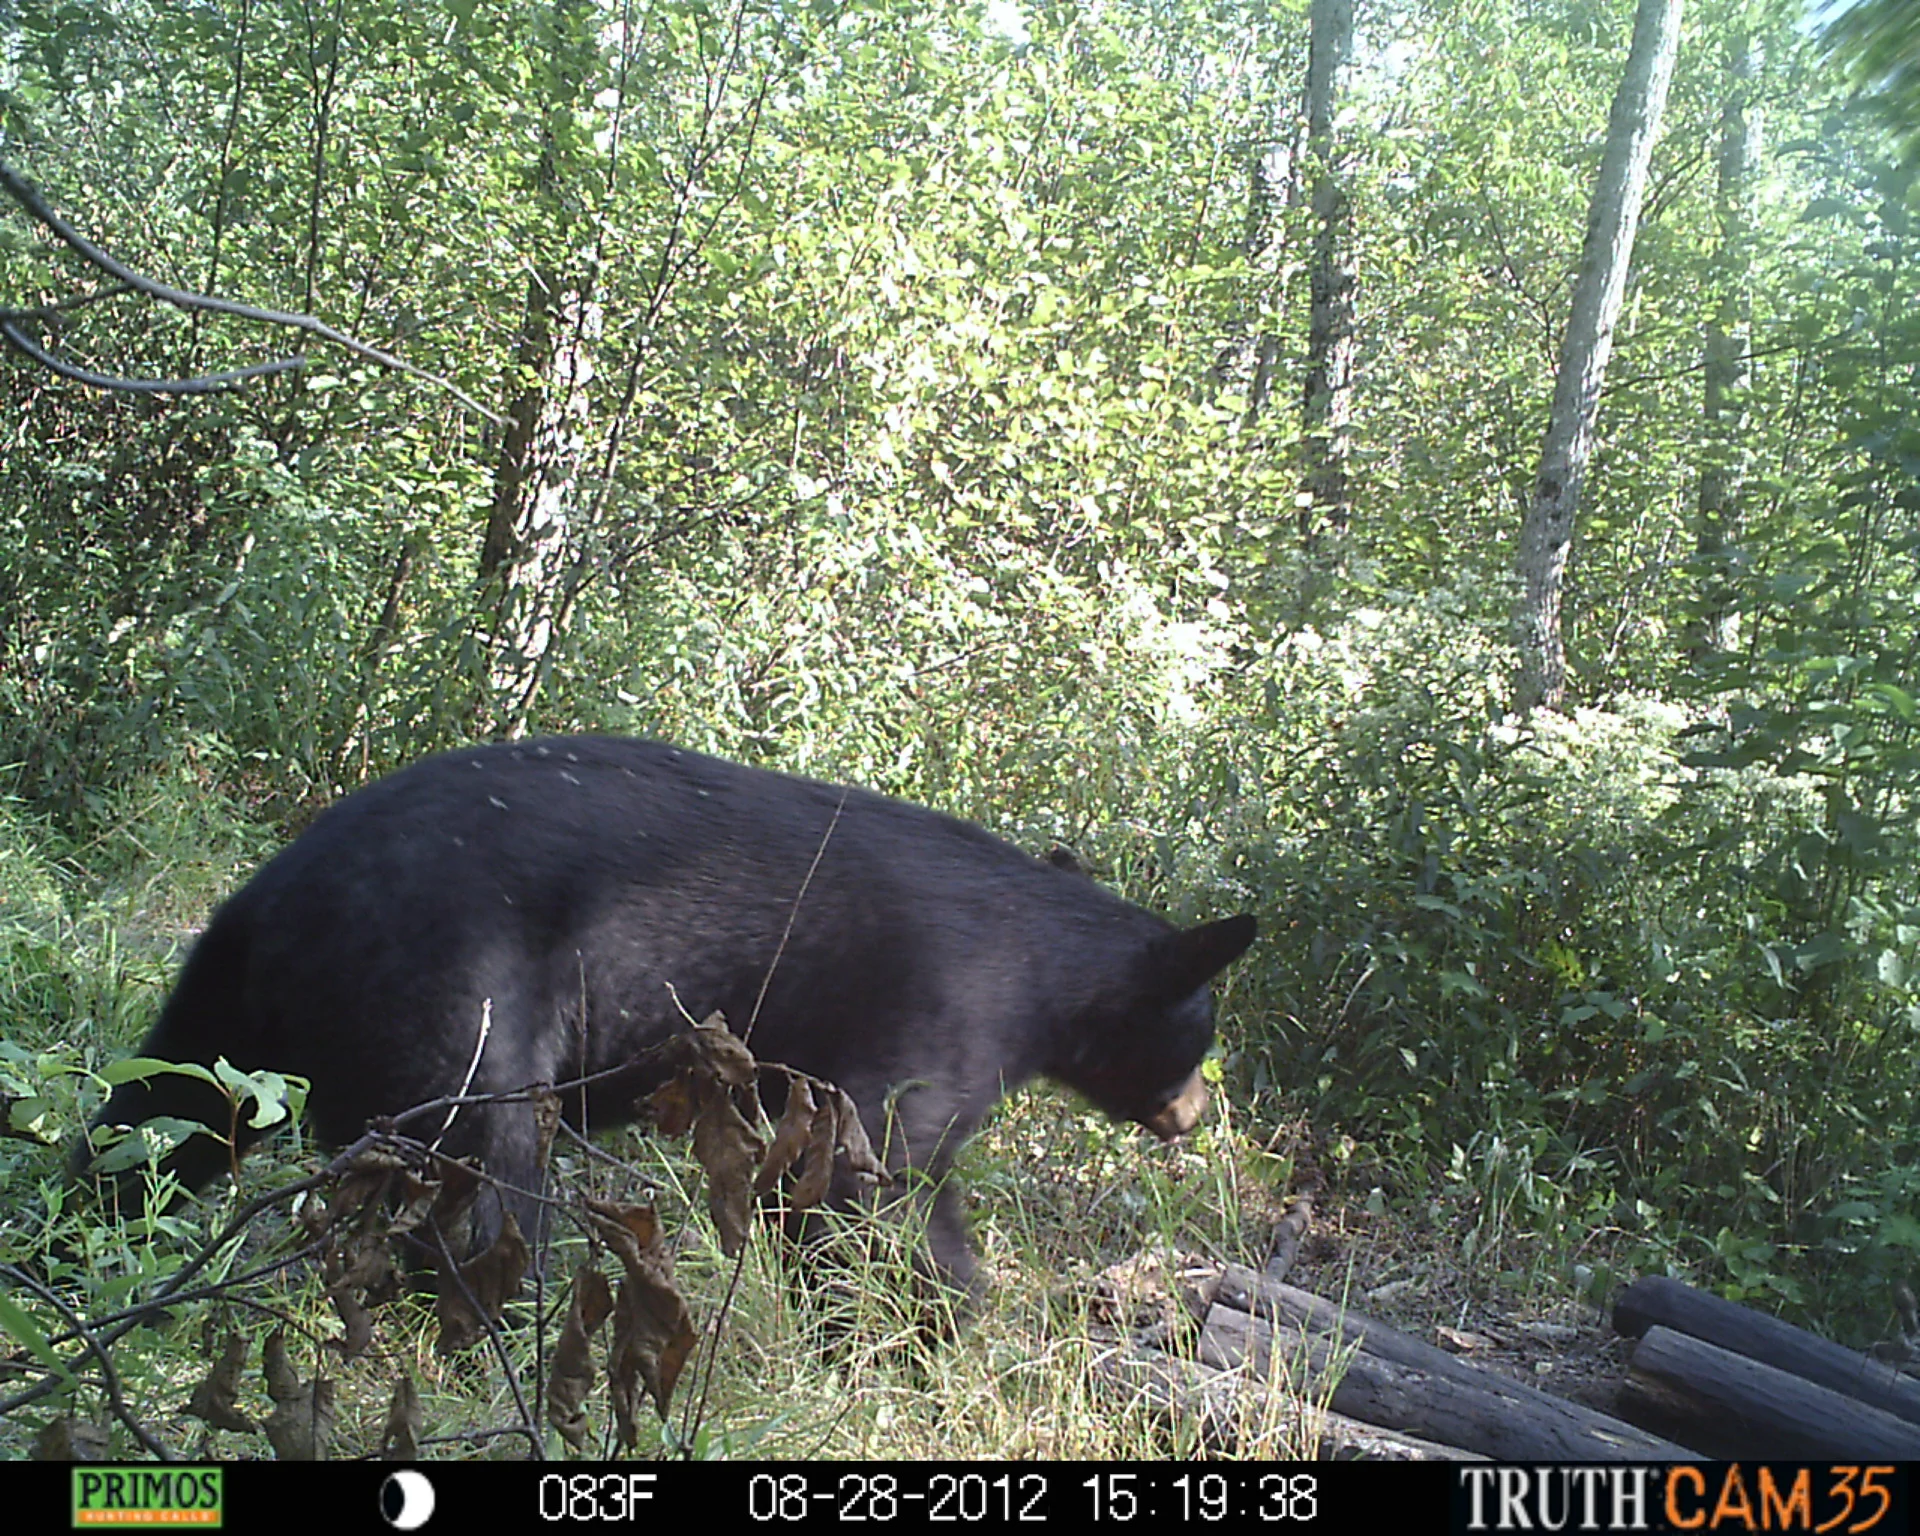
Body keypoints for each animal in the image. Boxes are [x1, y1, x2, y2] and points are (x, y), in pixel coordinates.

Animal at [74, 736, 1256, 1291]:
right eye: (1202, 1037)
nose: (1196, 1112)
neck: (1045, 965)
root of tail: (275, 895)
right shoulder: (942, 1009)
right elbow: (869, 1175)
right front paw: (948, 1310)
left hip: (225, 1003)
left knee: (158, 1117)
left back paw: (79, 1239)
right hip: (458, 991)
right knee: (483, 1166)